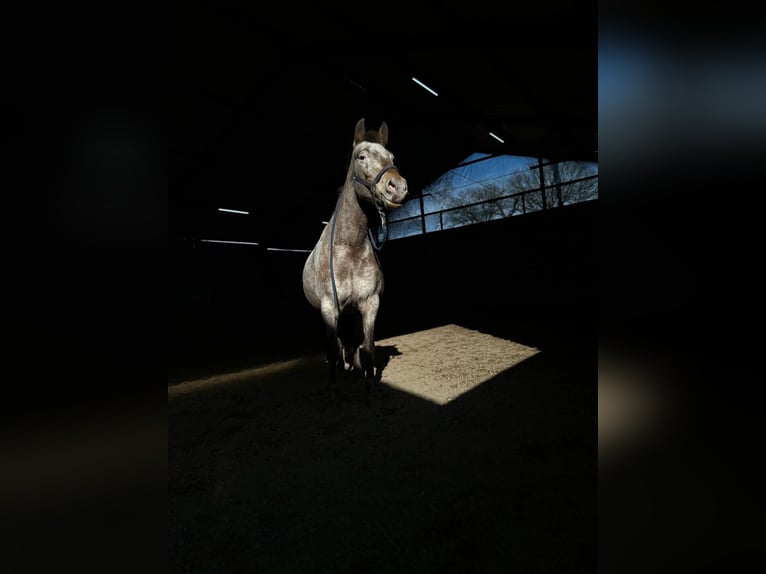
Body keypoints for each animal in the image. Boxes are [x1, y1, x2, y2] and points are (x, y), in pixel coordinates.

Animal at [302, 119, 412, 402]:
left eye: (392, 157)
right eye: (361, 157)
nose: (398, 187)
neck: (350, 247)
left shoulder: (369, 304)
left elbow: (368, 347)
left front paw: (370, 384)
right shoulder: (329, 308)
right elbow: (332, 349)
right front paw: (332, 389)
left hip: (351, 313)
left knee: (351, 344)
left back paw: (352, 372)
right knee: (341, 345)